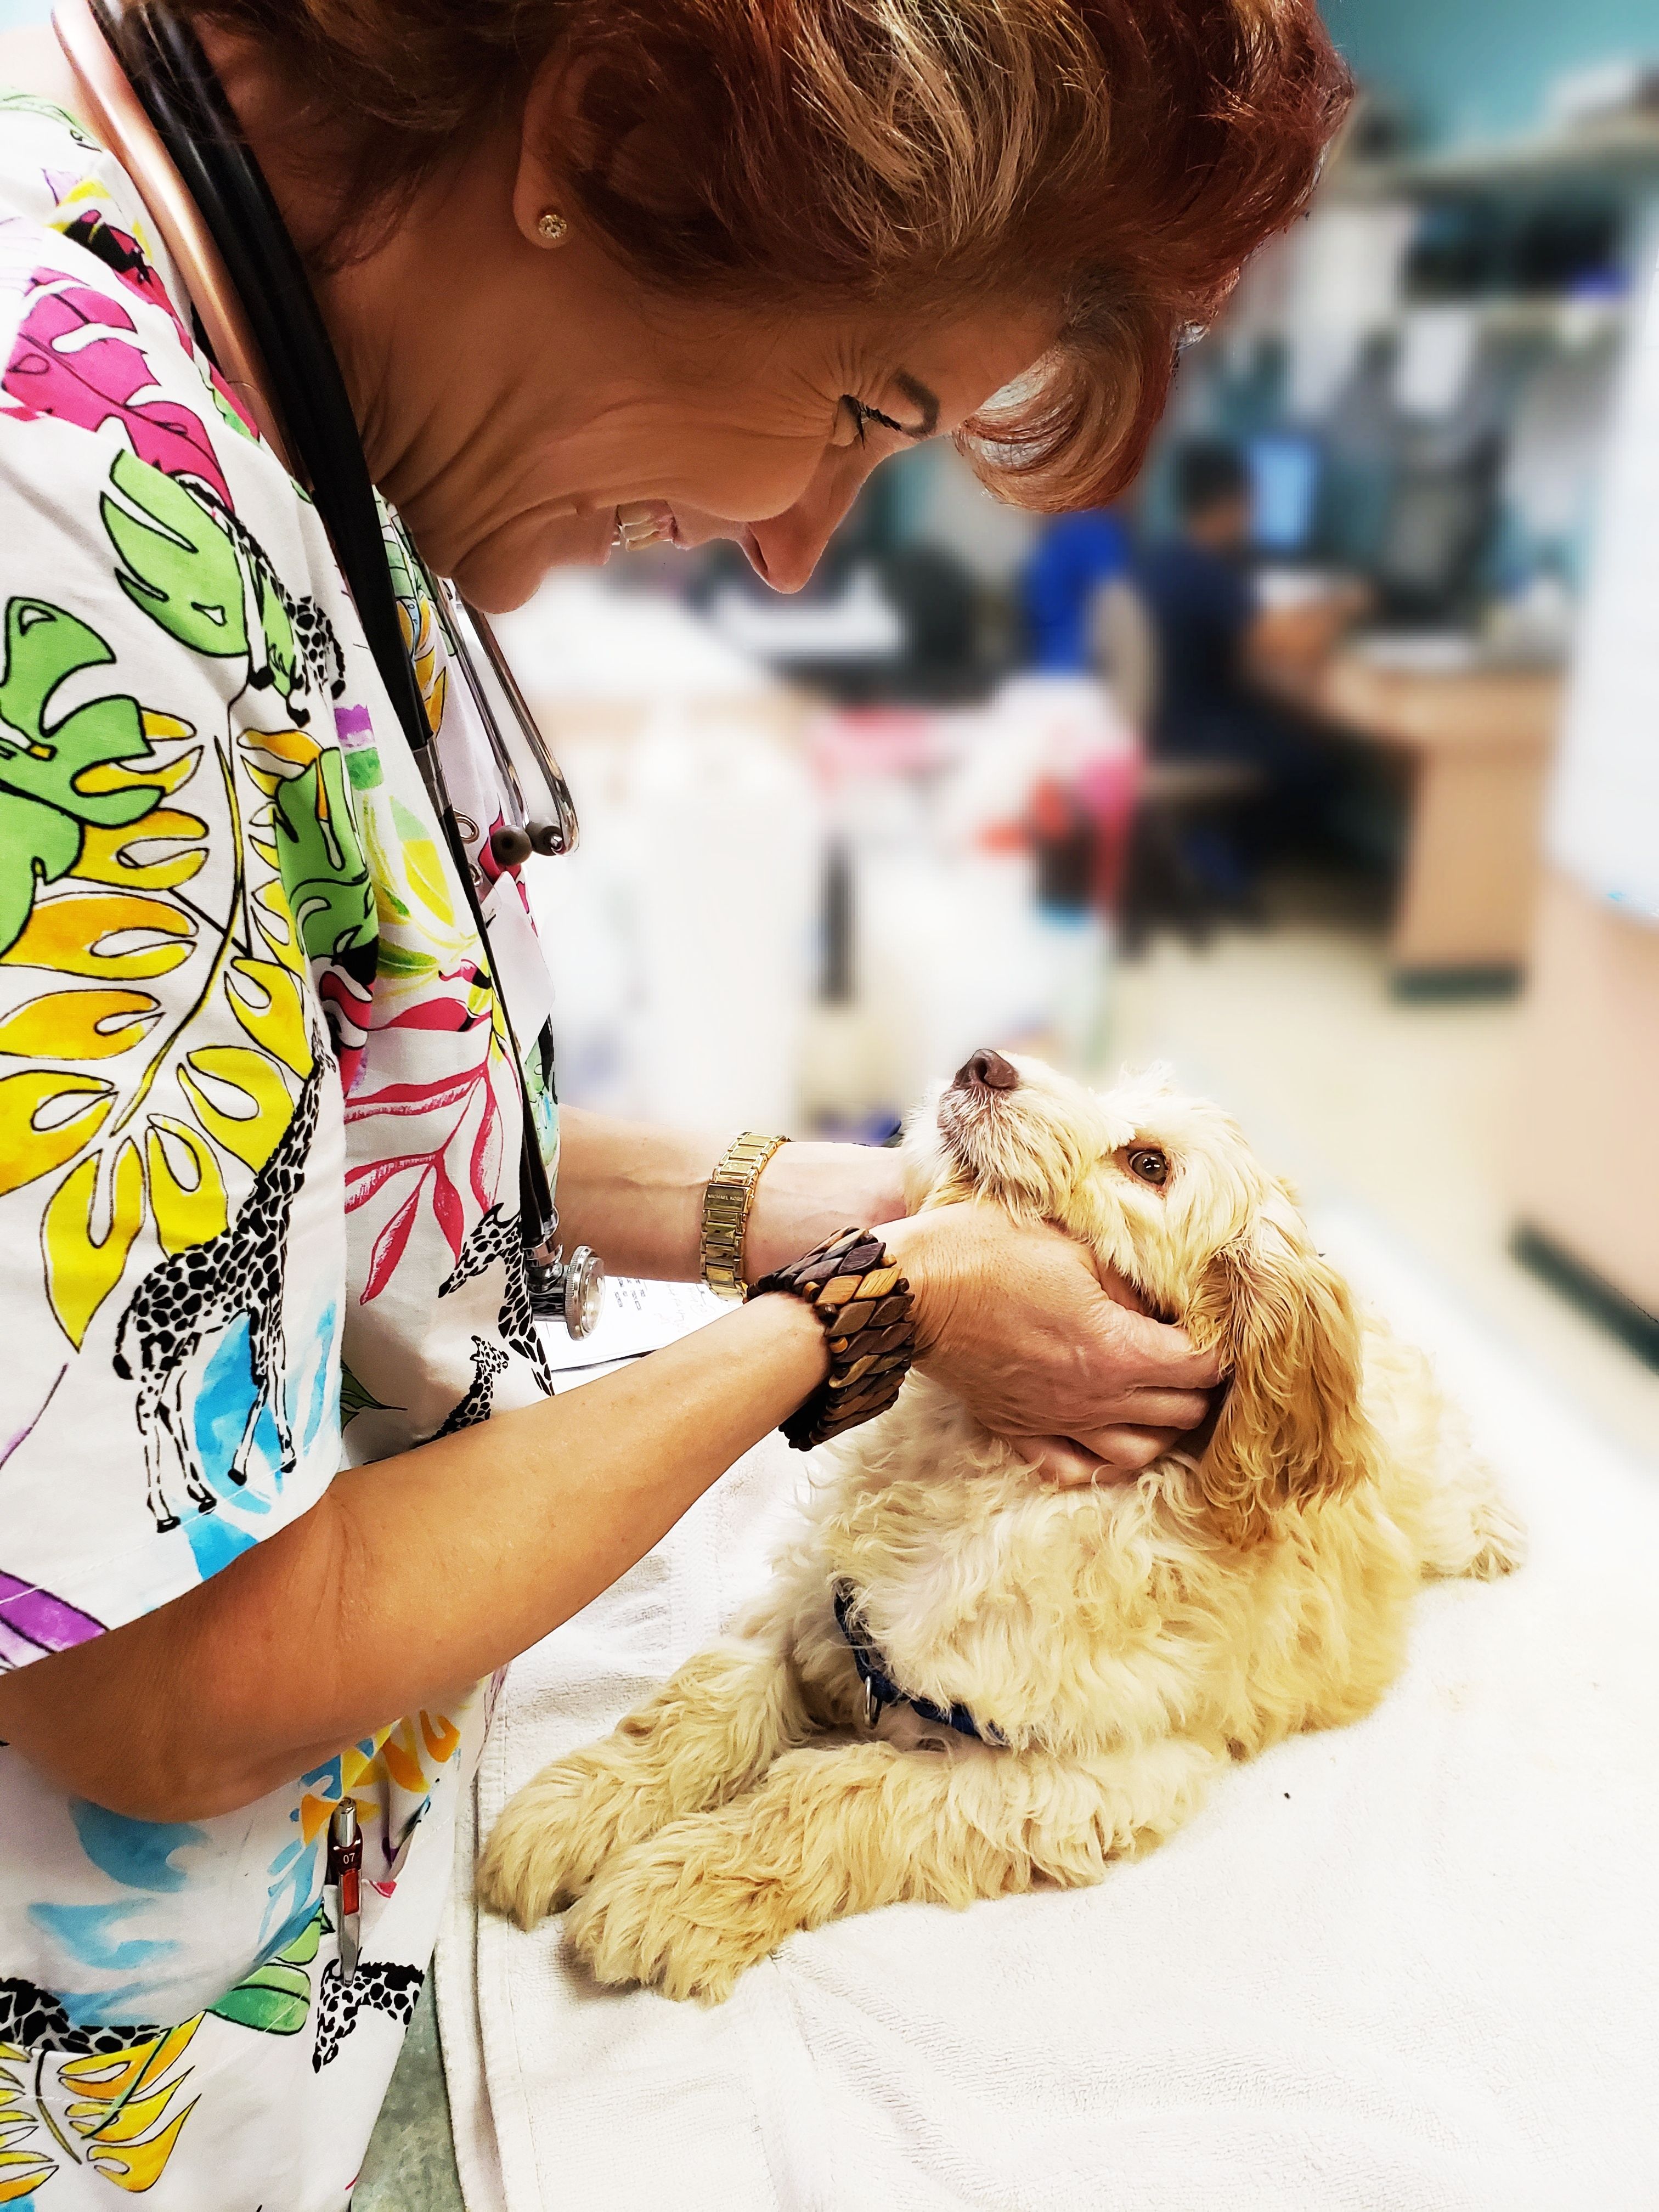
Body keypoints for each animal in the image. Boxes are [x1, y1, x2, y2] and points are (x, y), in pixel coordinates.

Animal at [473, 1053, 1531, 2008]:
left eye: (1148, 1164)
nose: (984, 1062)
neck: (997, 1476)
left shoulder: (1076, 1778)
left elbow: (830, 1797)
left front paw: (675, 1893)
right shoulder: (820, 1609)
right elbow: (700, 1705)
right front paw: (571, 1812)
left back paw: (1496, 1533)